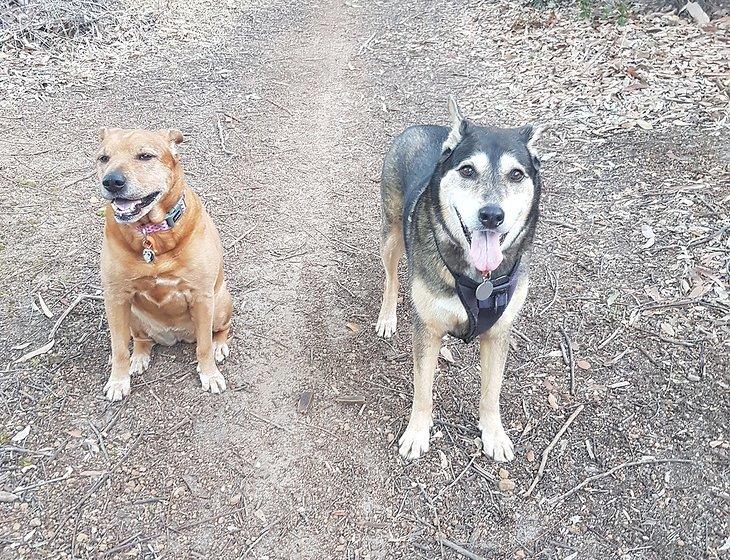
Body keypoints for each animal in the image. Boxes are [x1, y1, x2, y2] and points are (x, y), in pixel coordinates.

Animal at [94, 128, 230, 398]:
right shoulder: (115, 298)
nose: (112, 182)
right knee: (141, 339)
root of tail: (174, 336)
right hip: (132, 315)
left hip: (219, 304)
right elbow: (119, 348)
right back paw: (139, 357)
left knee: (218, 332)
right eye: (103, 158)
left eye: (145, 156)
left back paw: (219, 345)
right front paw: (118, 380)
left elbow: (204, 346)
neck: (151, 235)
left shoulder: (202, 296)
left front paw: (210, 374)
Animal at [376, 98, 540, 462]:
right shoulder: (427, 330)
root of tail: (419, 127)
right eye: (467, 170)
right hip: (391, 234)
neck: (479, 280)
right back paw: (387, 316)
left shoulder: (498, 332)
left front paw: (493, 433)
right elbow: (423, 389)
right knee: (391, 277)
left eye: (516, 174)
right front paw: (417, 433)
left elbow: (492, 391)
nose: (492, 215)